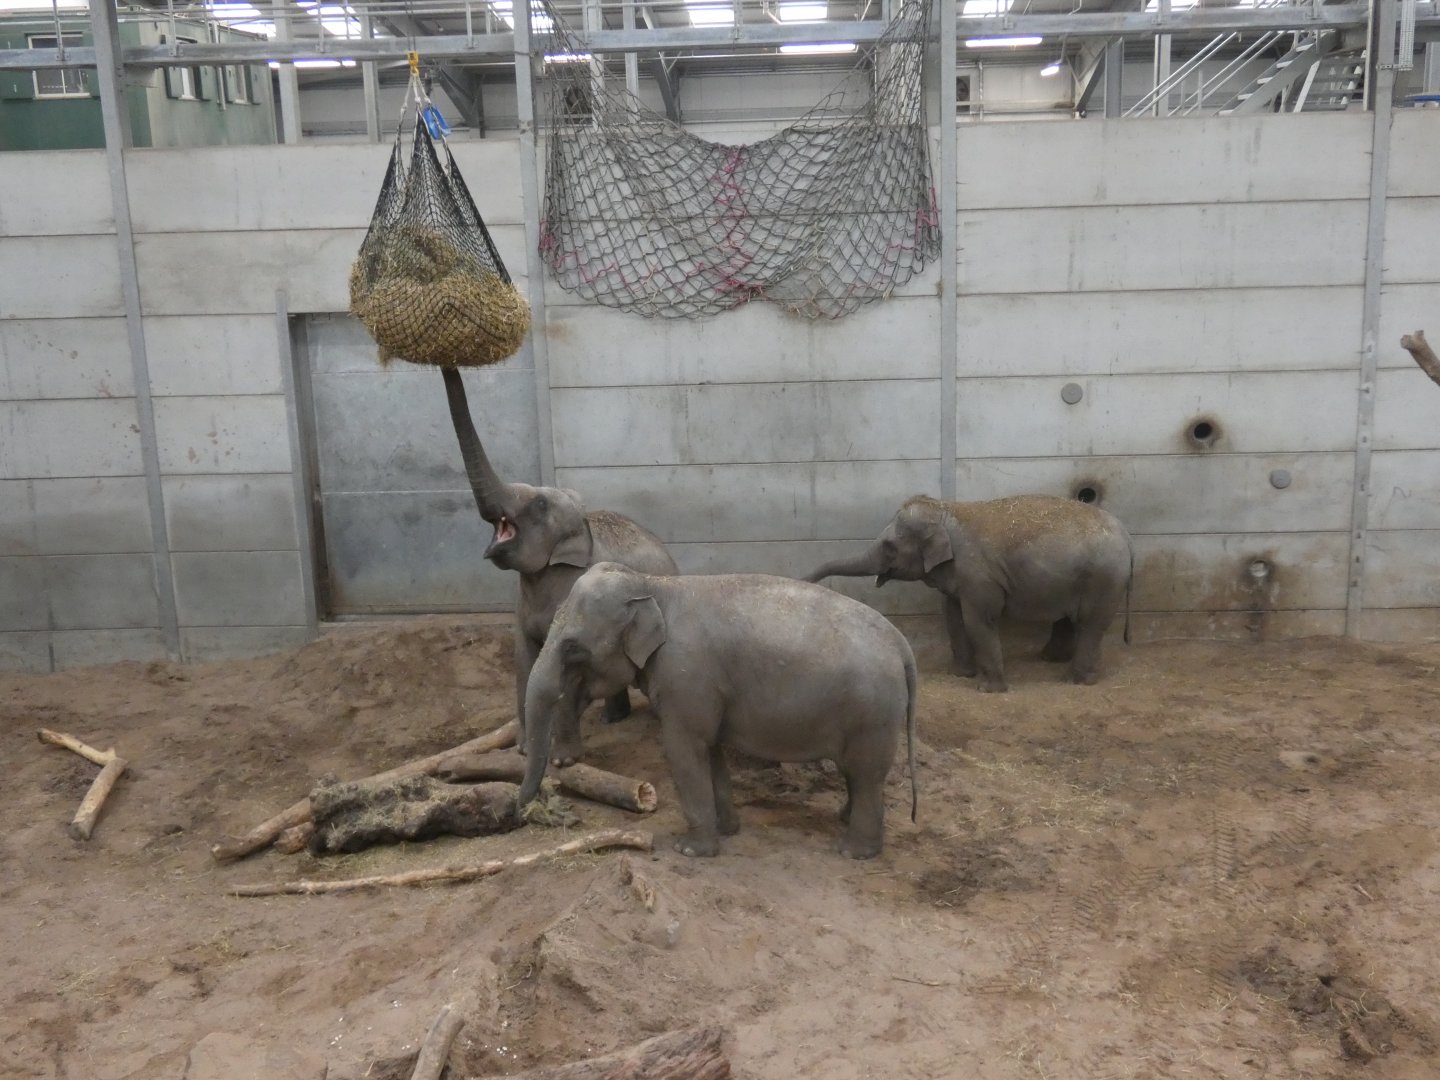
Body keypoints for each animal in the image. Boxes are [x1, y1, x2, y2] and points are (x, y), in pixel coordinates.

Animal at [517, 563, 918, 860]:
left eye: (572, 648)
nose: (519, 813)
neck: (654, 586)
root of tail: (902, 645)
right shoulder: (701, 692)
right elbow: (709, 751)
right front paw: (727, 830)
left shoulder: (685, 677)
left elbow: (682, 750)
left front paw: (690, 850)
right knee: (856, 772)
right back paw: (843, 819)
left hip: (872, 714)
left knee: (866, 774)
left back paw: (853, 851)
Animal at [805, 494, 1133, 693]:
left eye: (889, 547)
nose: (805, 580)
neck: (947, 510)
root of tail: (1128, 537)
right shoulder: (959, 575)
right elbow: (952, 616)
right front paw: (961, 675)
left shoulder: (979, 576)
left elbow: (978, 621)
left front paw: (990, 690)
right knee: (1069, 619)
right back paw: (1051, 660)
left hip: (1103, 580)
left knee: (1091, 624)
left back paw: (1076, 680)